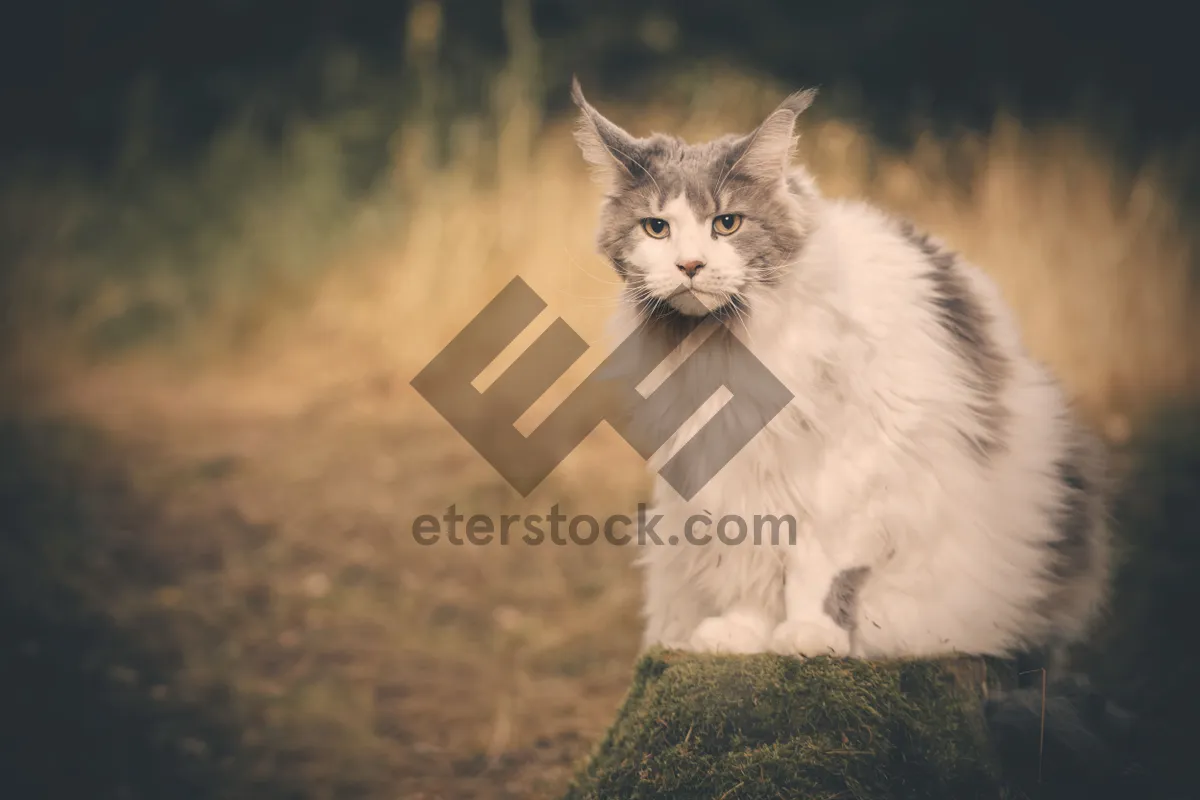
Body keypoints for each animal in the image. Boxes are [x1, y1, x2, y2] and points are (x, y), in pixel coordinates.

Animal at [566, 77, 1108, 666]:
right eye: (656, 229)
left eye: (726, 223)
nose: (689, 265)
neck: (724, 343)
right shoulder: (725, 468)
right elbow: (747, 561)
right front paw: (744, 633)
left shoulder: (852, 469)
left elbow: (816, 568)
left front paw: (809, 634)